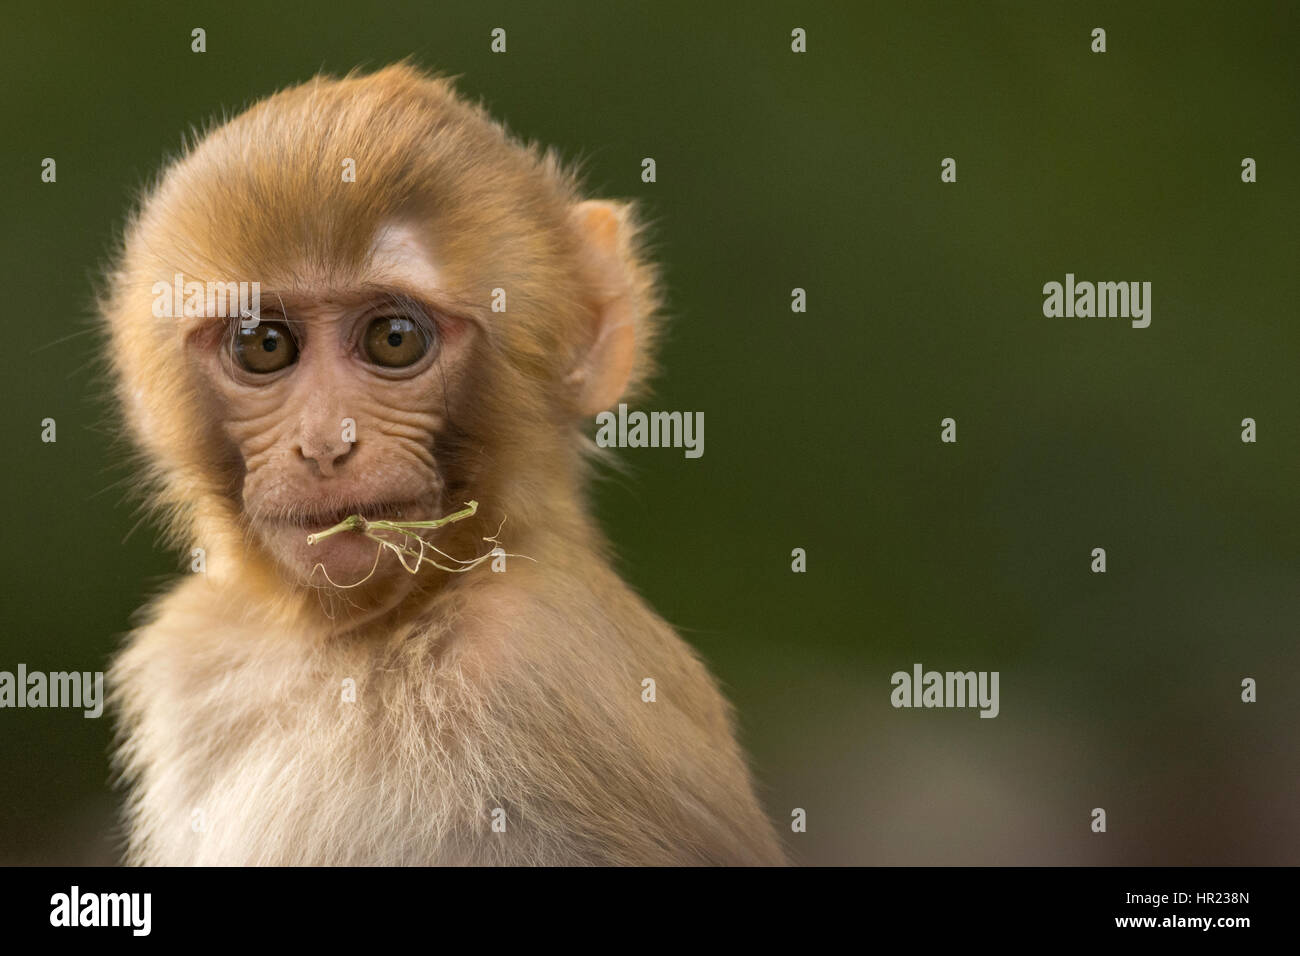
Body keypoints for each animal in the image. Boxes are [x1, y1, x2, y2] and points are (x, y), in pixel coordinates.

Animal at [100, 63, 786, 866]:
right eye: (264, 345)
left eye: (394, 339)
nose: (325, 444)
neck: (362, 642)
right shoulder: (198, 655)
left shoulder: (530, 659)